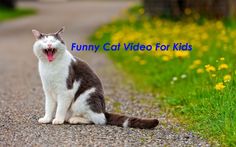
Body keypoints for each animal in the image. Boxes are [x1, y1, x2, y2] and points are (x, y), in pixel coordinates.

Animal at [31, 27, 159, 129]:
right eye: (45, 41)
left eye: (53, 41)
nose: (49, 45)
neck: (50, 66)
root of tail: (103, 109)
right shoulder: (48, 91)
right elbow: (48, 107)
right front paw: (47, 119)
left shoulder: (65, 92)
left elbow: (60, 108)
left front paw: (58, 119)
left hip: (83, 99)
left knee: (98, 120)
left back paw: (75, 119)